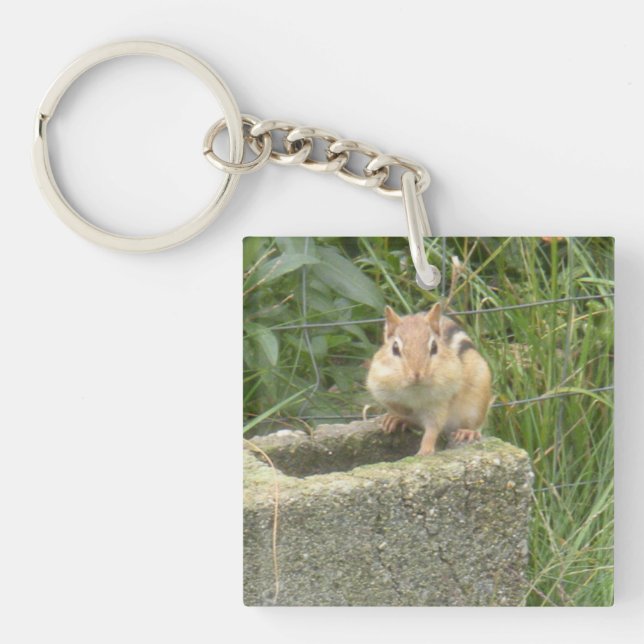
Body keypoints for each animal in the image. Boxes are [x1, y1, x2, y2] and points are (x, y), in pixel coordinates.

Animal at [366, 302, 492, 456]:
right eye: (395, 348)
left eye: (434, 347)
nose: (416, 374)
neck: (415, 390)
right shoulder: (379, 384)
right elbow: (395, 405)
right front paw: (400, 414)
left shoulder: (439, 401)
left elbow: (433, 428)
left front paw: (425, 451)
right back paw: (396, 419)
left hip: (476, 404)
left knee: (472, 425)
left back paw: (467, 433)